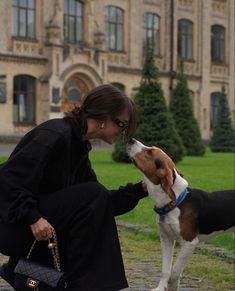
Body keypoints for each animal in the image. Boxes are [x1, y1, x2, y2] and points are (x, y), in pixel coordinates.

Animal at [127, 139, 234, 291]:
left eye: (150, 152)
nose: (131, 139)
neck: (175, 202)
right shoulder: (166, 239)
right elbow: (166, 270)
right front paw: (160, 288)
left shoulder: (189, 243)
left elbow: (175, 271)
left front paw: (172, 286)